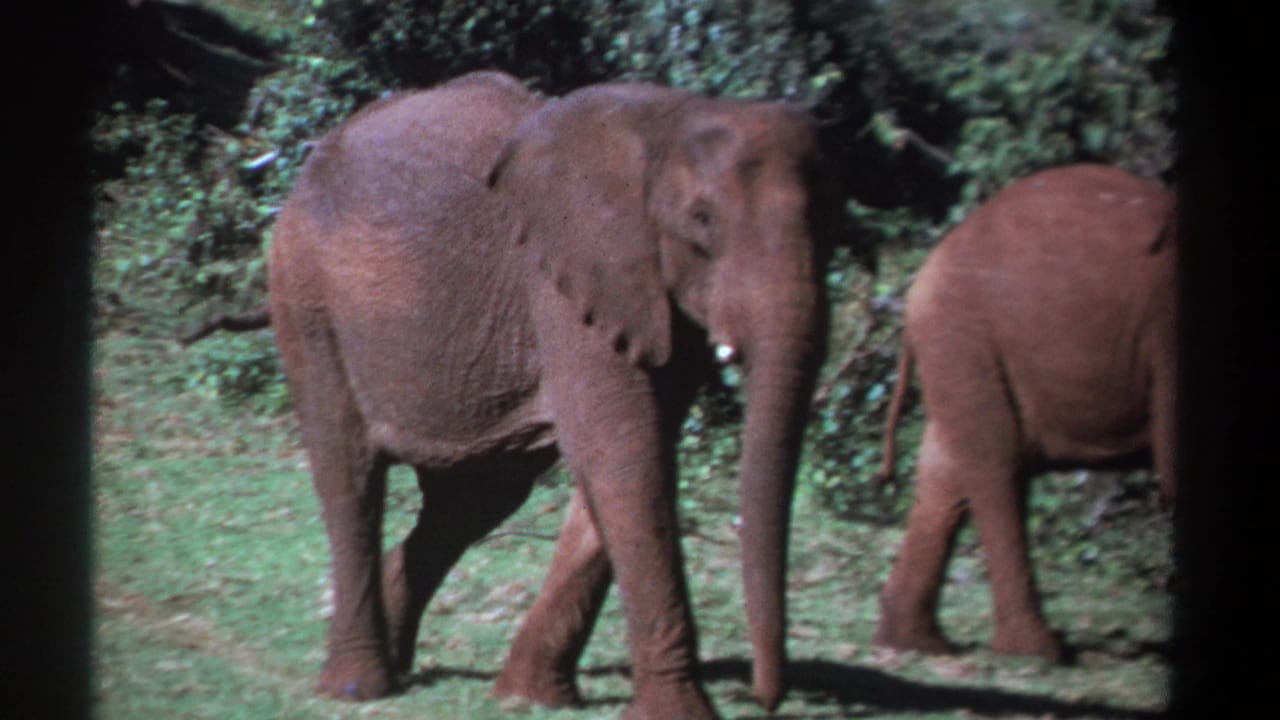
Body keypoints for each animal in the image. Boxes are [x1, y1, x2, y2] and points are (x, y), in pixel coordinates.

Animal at [268, 70, 836, 719]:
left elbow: (624, 462)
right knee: (350, 472)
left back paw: (400, 659)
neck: (670, 121)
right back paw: (359, 686)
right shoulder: (565, 285)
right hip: (305, 296)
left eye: (834, 223)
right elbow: (625, 456)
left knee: (473, 501)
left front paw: (529, 697)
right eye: (702, 220)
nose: (765, 697)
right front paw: (678, 714)